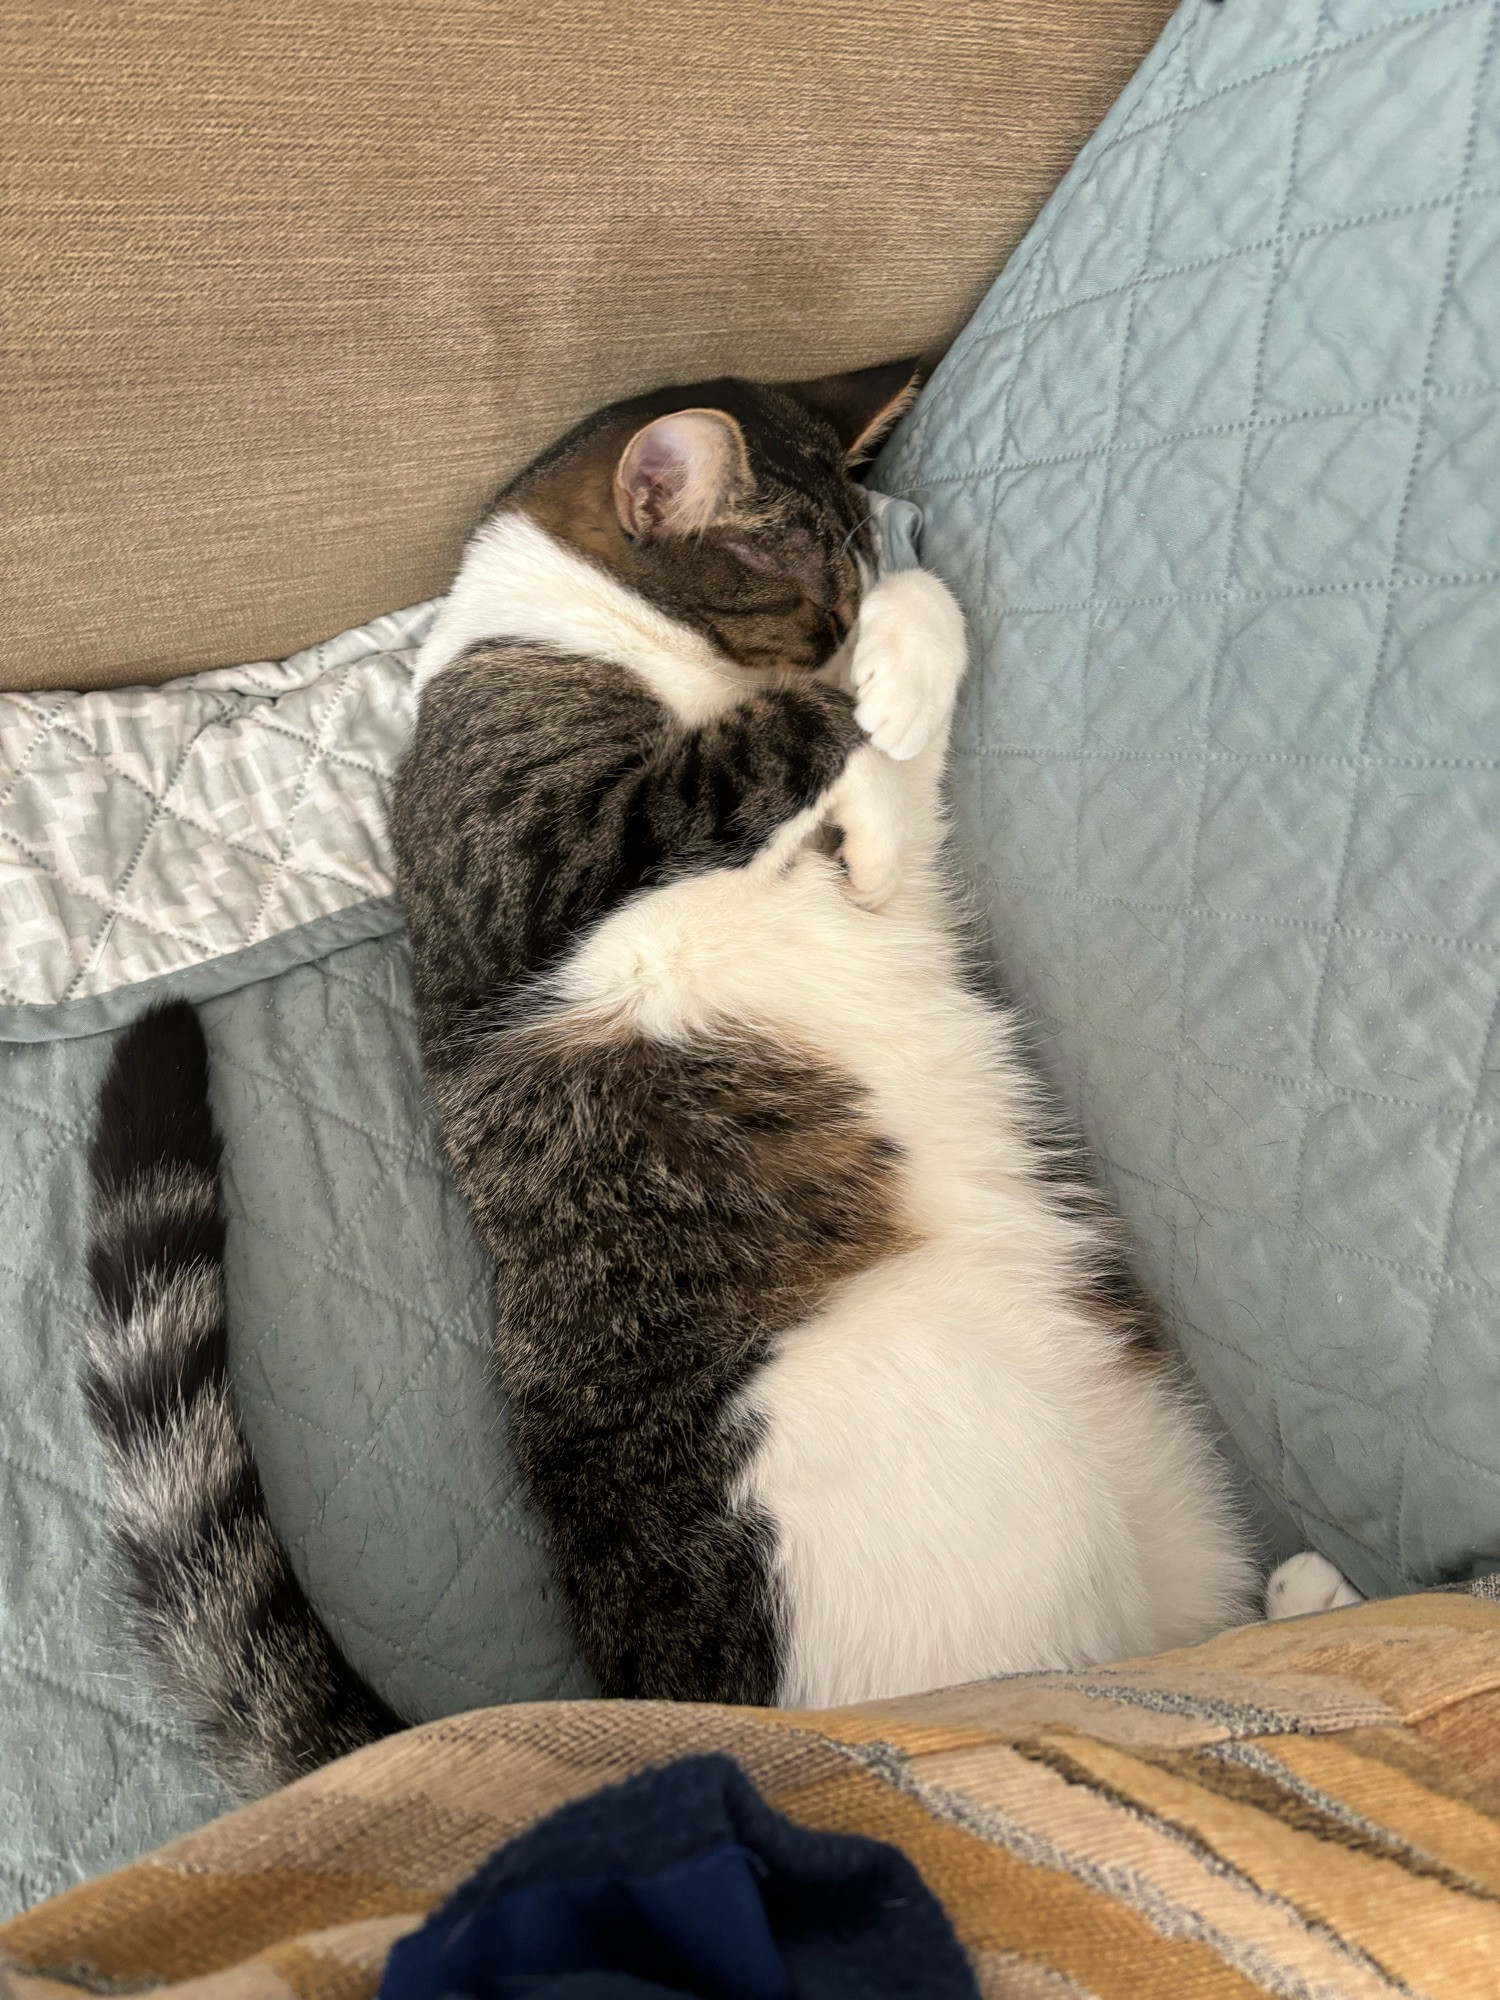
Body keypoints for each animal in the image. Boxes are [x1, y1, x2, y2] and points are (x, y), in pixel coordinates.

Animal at [88, 360, 1368, 1800]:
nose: (841, 631)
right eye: (807, 597)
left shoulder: (877, 867)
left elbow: (882, 799)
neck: (612, 638)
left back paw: (1314, 1606)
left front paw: (893, 681)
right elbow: (770, 746)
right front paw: (877, 659)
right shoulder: (543, 852)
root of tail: (659, 1714)